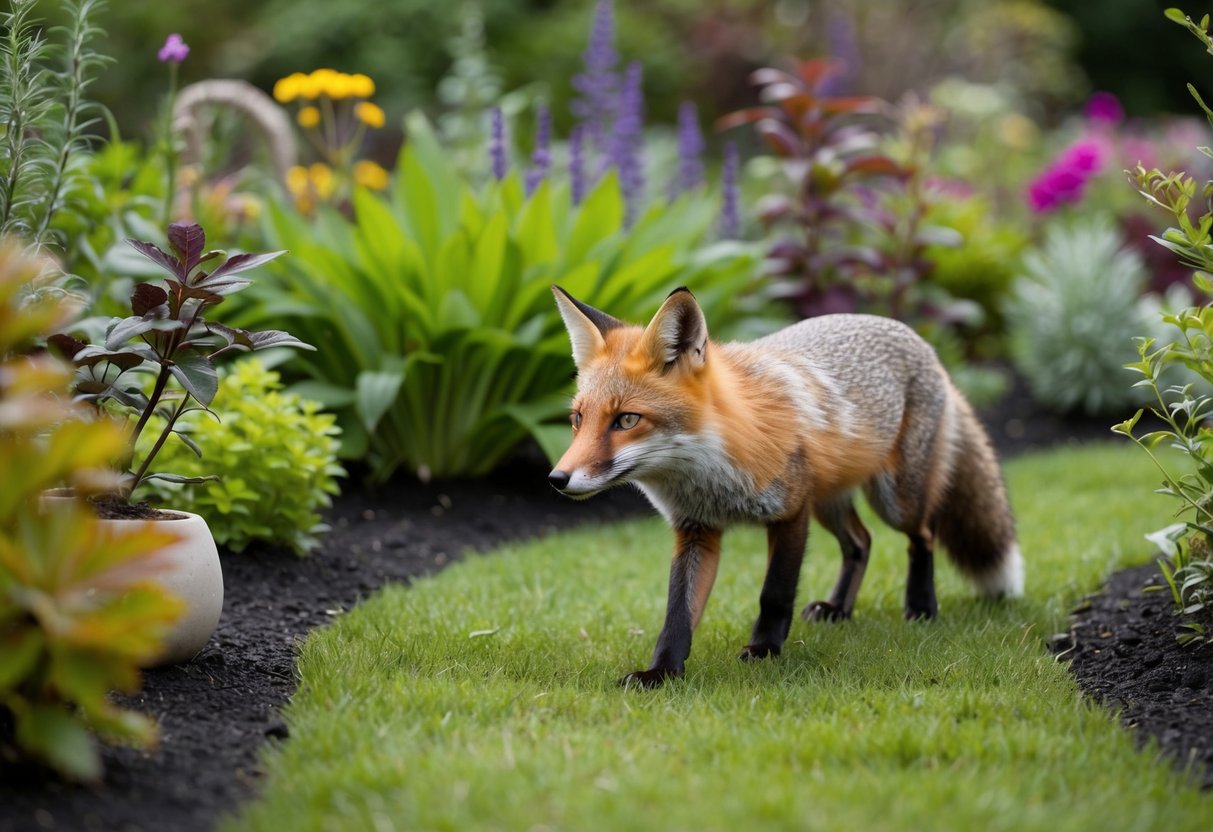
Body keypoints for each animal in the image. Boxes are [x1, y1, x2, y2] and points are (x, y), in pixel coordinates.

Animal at [547, 285, 1022, 688]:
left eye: (627, 419)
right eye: (578, 419)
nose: (556, 479)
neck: (710, 472)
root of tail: (921, 342)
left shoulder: (790, 512)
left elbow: (774, 593)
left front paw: (764, 650)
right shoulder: (696, 530)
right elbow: (677, 613)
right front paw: (661, 673)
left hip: (893, 498)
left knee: (923, 534)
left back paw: (922, 606)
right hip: (829, 501)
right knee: (861, 542)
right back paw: (838, 609)